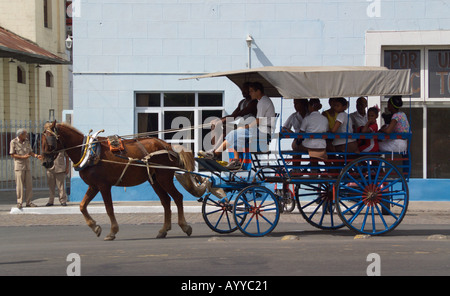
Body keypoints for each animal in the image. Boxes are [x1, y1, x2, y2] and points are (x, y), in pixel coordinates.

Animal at [41, 121, 196, 240]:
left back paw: (185, 226)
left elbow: (109, 208)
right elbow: (82, 206)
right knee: (166, 201)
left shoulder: (103, 186)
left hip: (164, 178)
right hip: (154, 180)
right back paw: (163, 230)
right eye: (40, 141)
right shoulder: (93, 186)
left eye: (49, 141)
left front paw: (112, 232)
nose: (45, 163)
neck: (88, 151)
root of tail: (167, 146)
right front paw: (95, 227)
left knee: (177, 197)